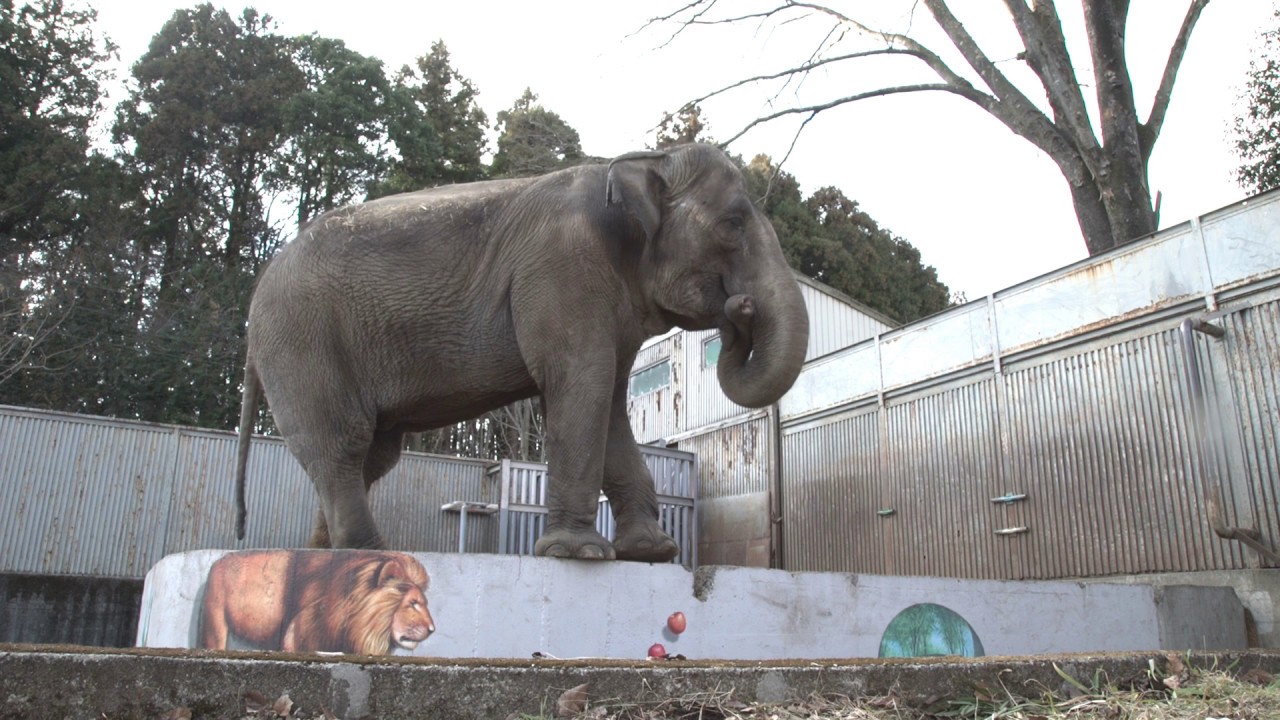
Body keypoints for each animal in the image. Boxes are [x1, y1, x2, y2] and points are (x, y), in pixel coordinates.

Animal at [234, 143, 809, 562]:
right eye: (733, 223)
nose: (741, 308)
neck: (643, 160)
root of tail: (257, 294)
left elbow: (609, 402)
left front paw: (651, 553)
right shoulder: (564, 268)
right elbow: (582, 387)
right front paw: (578, 554)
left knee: (371, 456)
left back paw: (321, 558)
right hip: (301, 340)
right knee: (342, 444)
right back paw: (369, 558)